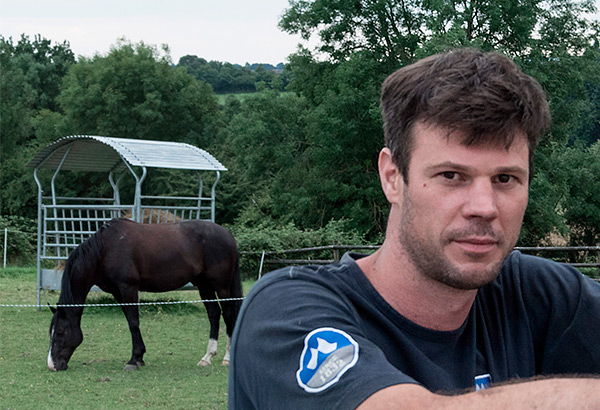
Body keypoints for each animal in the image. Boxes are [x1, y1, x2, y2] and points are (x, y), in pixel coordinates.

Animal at [47, 218, 243, 372]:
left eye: (61, 332)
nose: (52, 365)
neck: (105, 250)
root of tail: (228, 235)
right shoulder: (117, 292)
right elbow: (130, 321)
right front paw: (139, 357)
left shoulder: (128, 288)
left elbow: (134, 322)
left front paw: (133, 360)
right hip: (204, 286)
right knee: (214, 314)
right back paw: (207, 357)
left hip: (222, 287)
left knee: (228, 315)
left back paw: (227, 357)